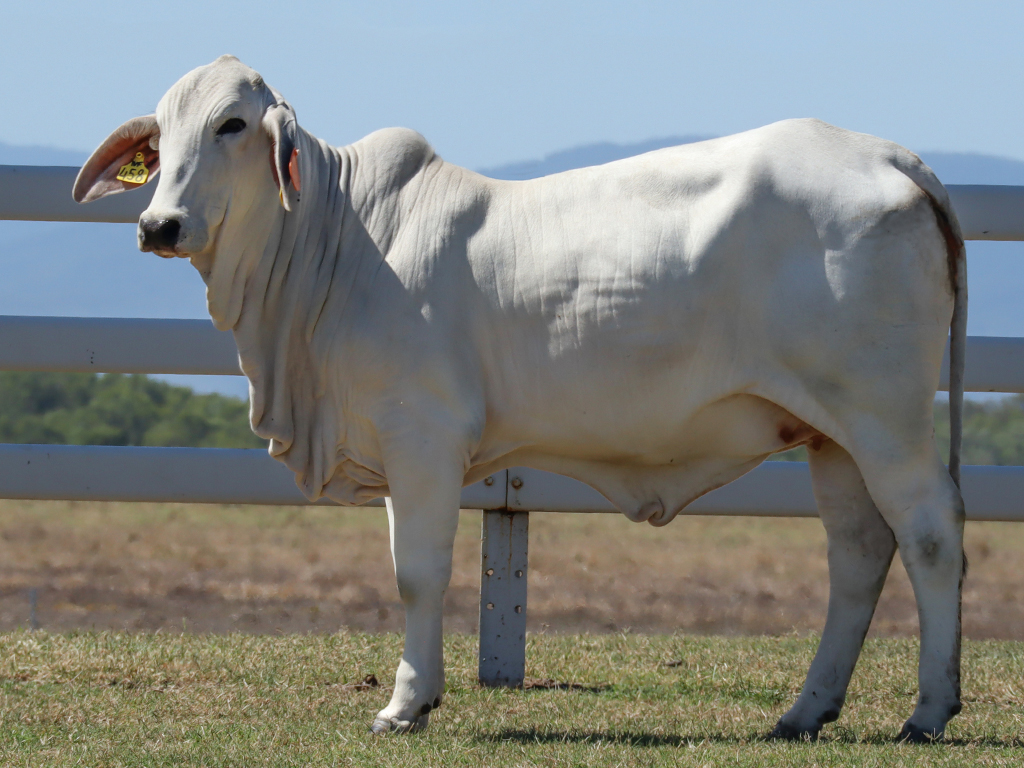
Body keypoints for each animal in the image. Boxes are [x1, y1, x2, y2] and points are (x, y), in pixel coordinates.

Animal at [73, 55, 967, 742]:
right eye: (160, 138)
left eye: (231, 124)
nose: (159, 224)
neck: (336, 245)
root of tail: (892, 158)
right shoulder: (397, 445)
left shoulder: (424, 436)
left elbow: (417, 573)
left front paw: (404, 706)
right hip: (830, 435)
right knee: (858, 554)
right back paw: (806, 710)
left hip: (884, 419)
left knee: (930, 537)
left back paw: (928, 711)